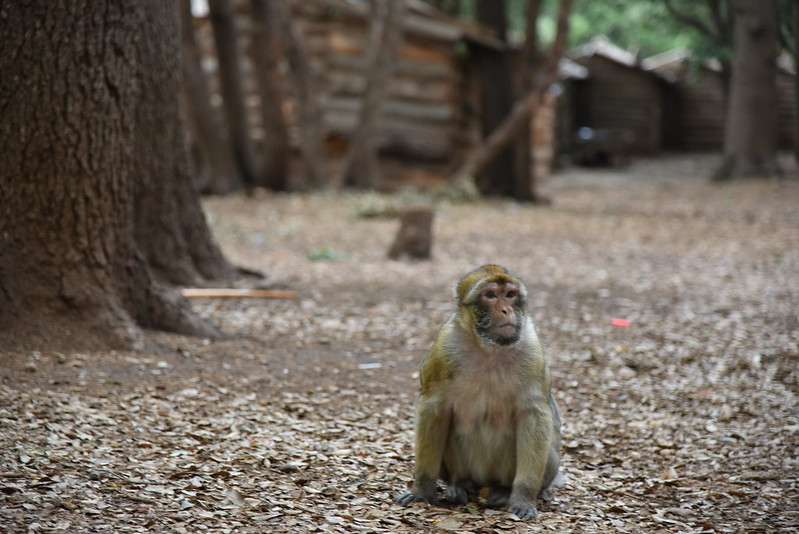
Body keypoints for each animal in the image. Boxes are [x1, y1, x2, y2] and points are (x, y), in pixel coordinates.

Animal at [396, 266, 564, 520]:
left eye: (510, 295)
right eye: (491, 295)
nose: (506, 309)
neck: (490, 349)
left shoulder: (532, 350)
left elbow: (534, 415)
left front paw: (523, 497)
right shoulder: (442, 350)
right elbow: (434, 410)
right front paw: (422, 490)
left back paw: (503, 491)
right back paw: (459, 485)